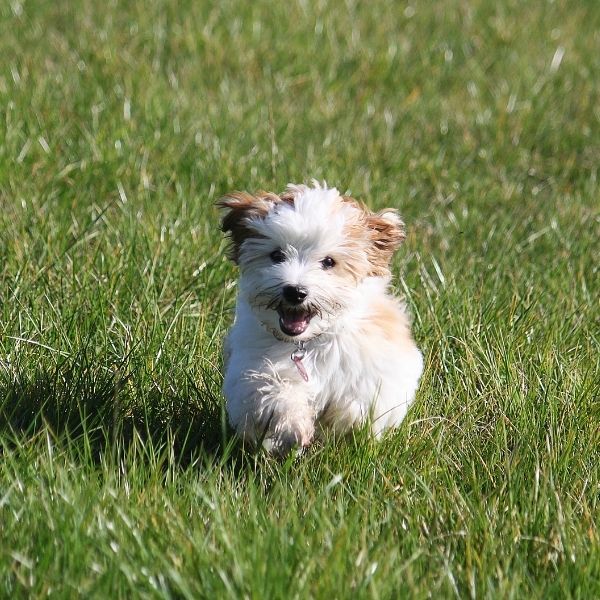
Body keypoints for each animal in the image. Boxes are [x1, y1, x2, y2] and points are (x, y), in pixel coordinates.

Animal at [219, 183, 422, 454]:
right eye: (277, 255)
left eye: (328, 262)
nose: (295, 291)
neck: (310, 341)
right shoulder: (253, 366)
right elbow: (274, 393)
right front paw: (293, 426)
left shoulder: (378, 368)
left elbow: (358, 402)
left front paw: (343, 420)